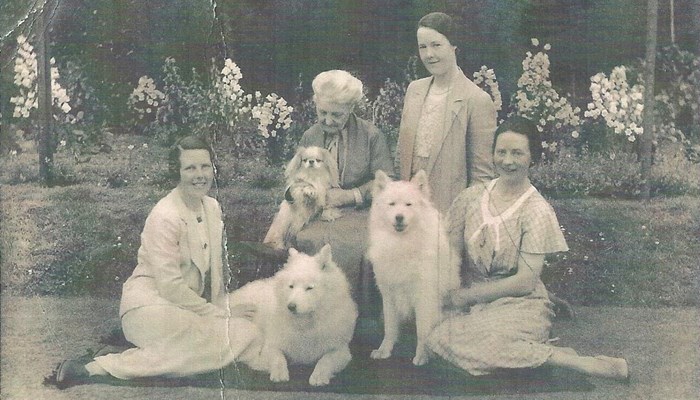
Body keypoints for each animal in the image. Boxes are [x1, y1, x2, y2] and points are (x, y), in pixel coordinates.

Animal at [231, 245, 358, 386]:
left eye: (309, 288)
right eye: (291, 286)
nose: (291, 306)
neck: (305, 325)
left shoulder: (341, 350)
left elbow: (326, 360)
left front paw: (318, 376)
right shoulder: (271, 345)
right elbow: (278, 357)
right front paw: (279, 373)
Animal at [366, 169, 460, 366]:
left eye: (408, 204)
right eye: (392, 204)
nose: (399, 217)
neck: (402, 243)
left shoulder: (424, 297)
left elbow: (422, 331)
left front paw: (422, 355)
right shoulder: (389, 294)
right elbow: (390, 328)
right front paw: (384, 350)